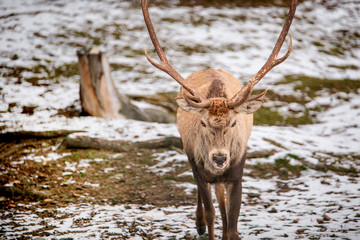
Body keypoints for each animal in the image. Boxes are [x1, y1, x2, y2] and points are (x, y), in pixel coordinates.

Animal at [142, 0, 296, 238]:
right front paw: (205, 225)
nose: (220, 158)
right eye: (203, 122)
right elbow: (211, 213)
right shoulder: (197, 167)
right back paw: (199, 224)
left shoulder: (237, 171)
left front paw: (232, 233)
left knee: (222, 201)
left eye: (233, 122)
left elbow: (231, 222)